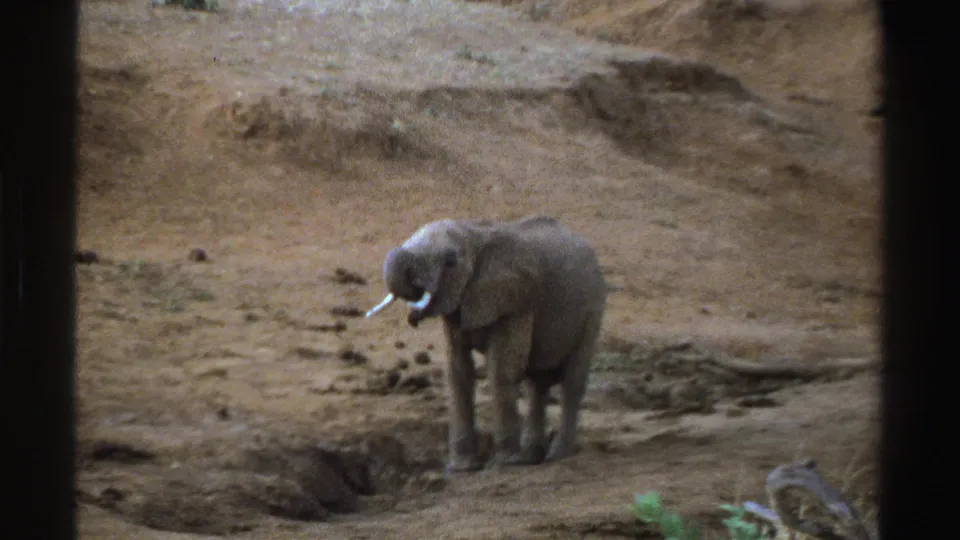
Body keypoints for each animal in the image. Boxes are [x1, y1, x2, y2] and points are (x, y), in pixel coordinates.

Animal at [366, 215, 607, 472]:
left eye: (450, 262)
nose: (413, 318)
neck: (474, 235)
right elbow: (458, 372)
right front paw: (462, 467)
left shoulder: (516, 300)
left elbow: (501, 370)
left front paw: (506, 462)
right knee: (536, 384)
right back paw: (531, 457)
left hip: (592, 311)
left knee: (572, 382)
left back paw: (557, 455)